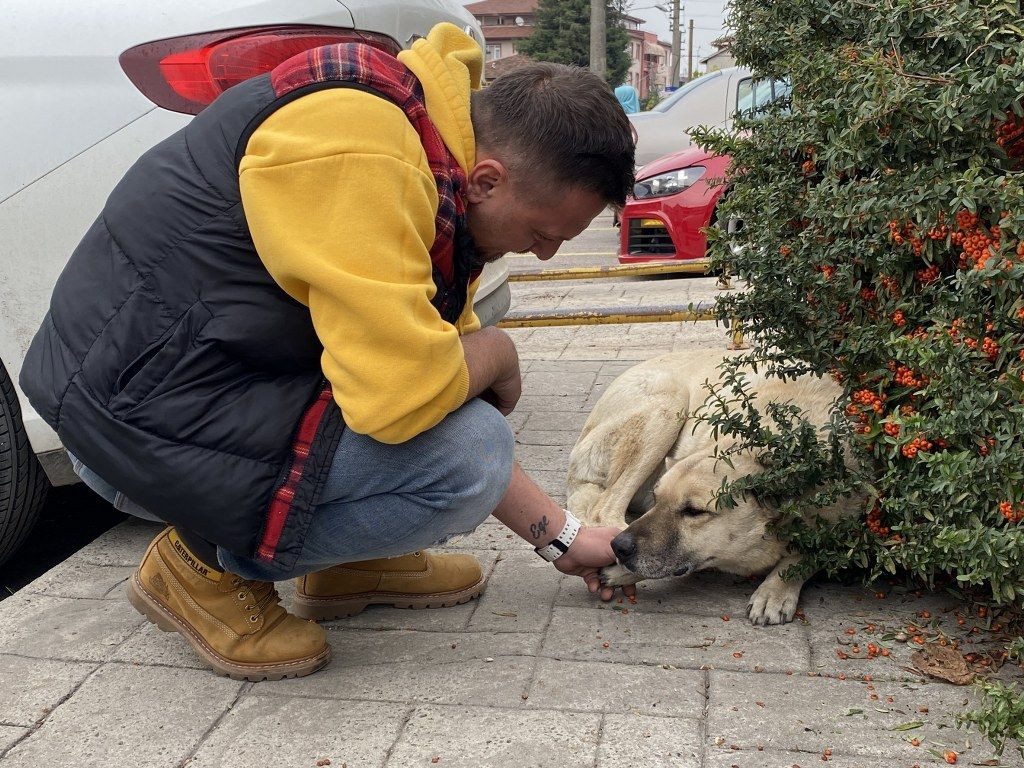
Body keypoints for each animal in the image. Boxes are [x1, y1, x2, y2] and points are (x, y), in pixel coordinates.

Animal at [569, 348, 856, 626]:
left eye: (694, 511)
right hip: (668, 404)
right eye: (657, 498)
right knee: (603, 509)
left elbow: (807, 556)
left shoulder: (844, 532)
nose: (617, 548)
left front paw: (775, 590)